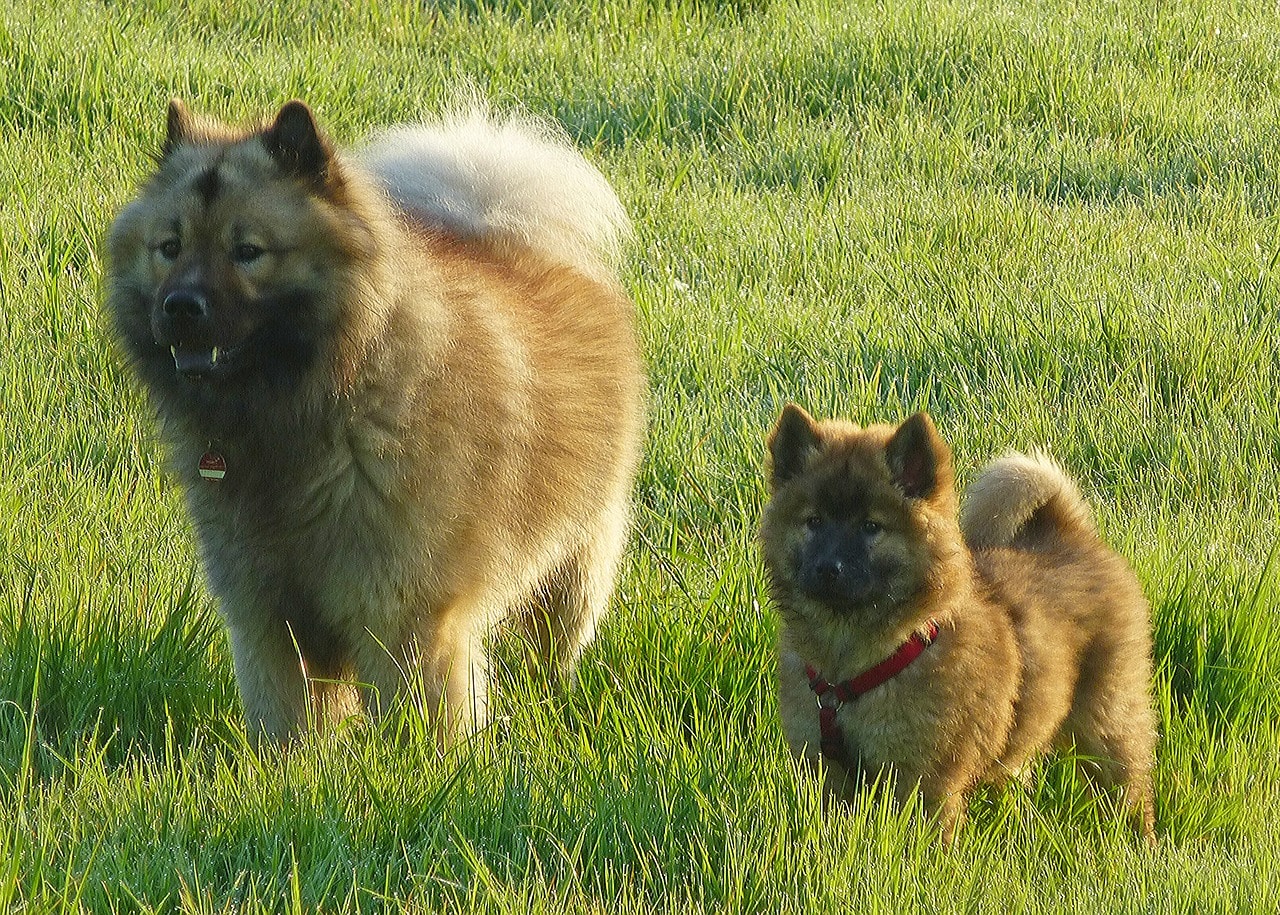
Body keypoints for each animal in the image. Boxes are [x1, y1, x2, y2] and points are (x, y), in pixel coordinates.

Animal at [107, 100, 650, 742]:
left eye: (248, 251)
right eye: (170, 246)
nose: (181, 307)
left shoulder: (405, 613)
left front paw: (427, 764)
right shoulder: (266, 615)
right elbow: (284, 724)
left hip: (573, 559)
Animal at [757, 404, 1162, 849]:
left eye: (871, 526)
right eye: (813, 521)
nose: (829, 568)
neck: (853, 667)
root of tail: (1067, 531)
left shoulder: (926, 780)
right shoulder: (824, 771)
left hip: (1108, 719)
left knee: (1130, 785)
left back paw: (1140, 842)